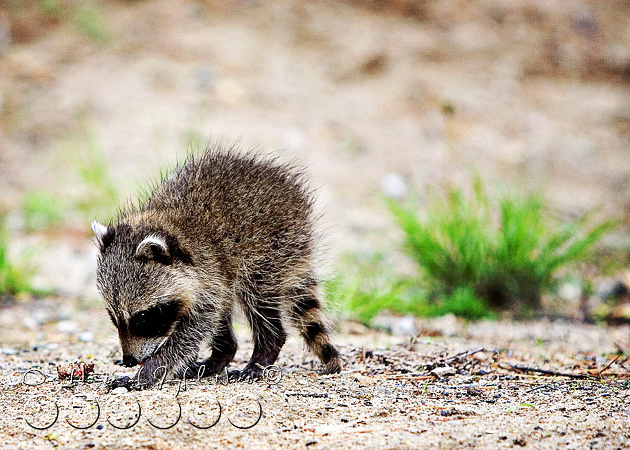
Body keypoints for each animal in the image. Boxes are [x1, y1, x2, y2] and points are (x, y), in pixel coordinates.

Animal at [91, 146, 344, 384]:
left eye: (143, 317)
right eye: (113, 317)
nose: (129, 360)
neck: (170, 224)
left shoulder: (209, 271)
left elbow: (192, 330)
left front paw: (149, 371)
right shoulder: (208, 276)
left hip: (271, 251)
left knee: (257, 296)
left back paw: (264, 351)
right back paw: (222, 353)